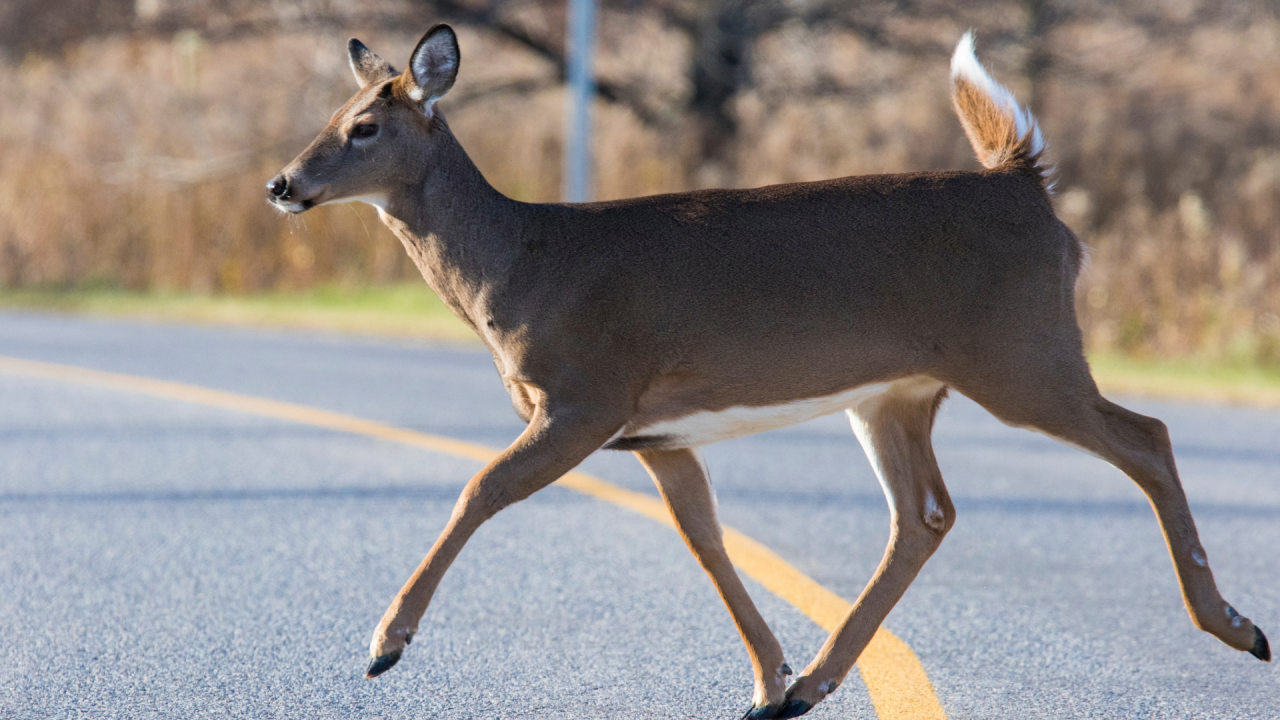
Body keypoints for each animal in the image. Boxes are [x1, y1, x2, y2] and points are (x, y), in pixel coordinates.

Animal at [267, 25, 1269, 712]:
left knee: (1146, 436)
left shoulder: (585, 396)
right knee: (926, 514)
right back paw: (812, 685)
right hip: (899, 391)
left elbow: (478, 488)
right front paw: (767, 676)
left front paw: (384, 642)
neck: (518, 264)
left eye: (364, 126)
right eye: (326, 118)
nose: (281, 184)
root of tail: (1025, 181)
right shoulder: (656, 433)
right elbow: (706, 540)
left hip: (1024, 351)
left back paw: (1236, 627)